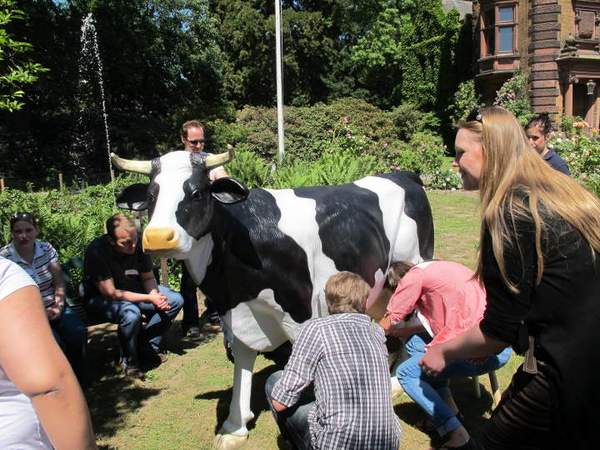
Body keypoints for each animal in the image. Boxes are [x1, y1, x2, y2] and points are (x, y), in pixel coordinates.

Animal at [111, 149, 432, 448]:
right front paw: (235, 427)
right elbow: (241, 362)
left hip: (414, 265)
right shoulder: (238, 311)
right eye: (151, 195)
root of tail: (404, 174)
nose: (157, 237)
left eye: (196, 193)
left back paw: (394, 382)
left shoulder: (300, 312)